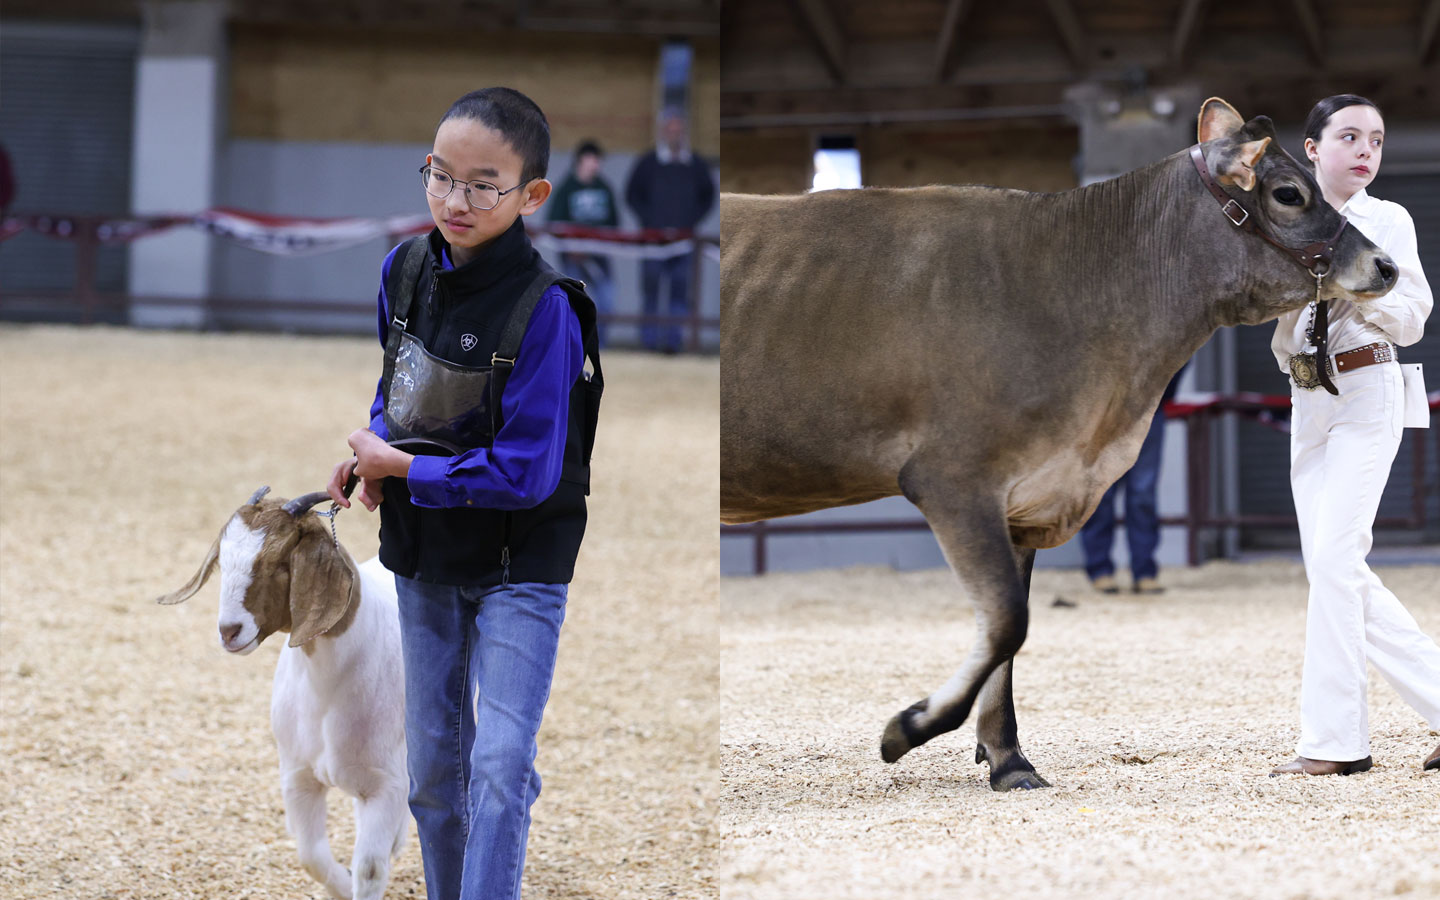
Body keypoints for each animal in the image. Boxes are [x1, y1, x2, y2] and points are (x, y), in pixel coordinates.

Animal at [157, 486, 409, 900]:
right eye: (222, 562)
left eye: (277, 563)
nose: (229, 631)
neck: (327, 690)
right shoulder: (298, 776)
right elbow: (311, 856)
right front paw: (342, 884)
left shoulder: (385, 784)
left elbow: (370, 869)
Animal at [719, 98, 1398, 791]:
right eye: (1288, 193)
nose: (1388, 265)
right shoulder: (954, 478)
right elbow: (1005, 623)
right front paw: (908, 728)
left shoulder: (1027, 493)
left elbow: (1009, 632)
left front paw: (1010, 761)